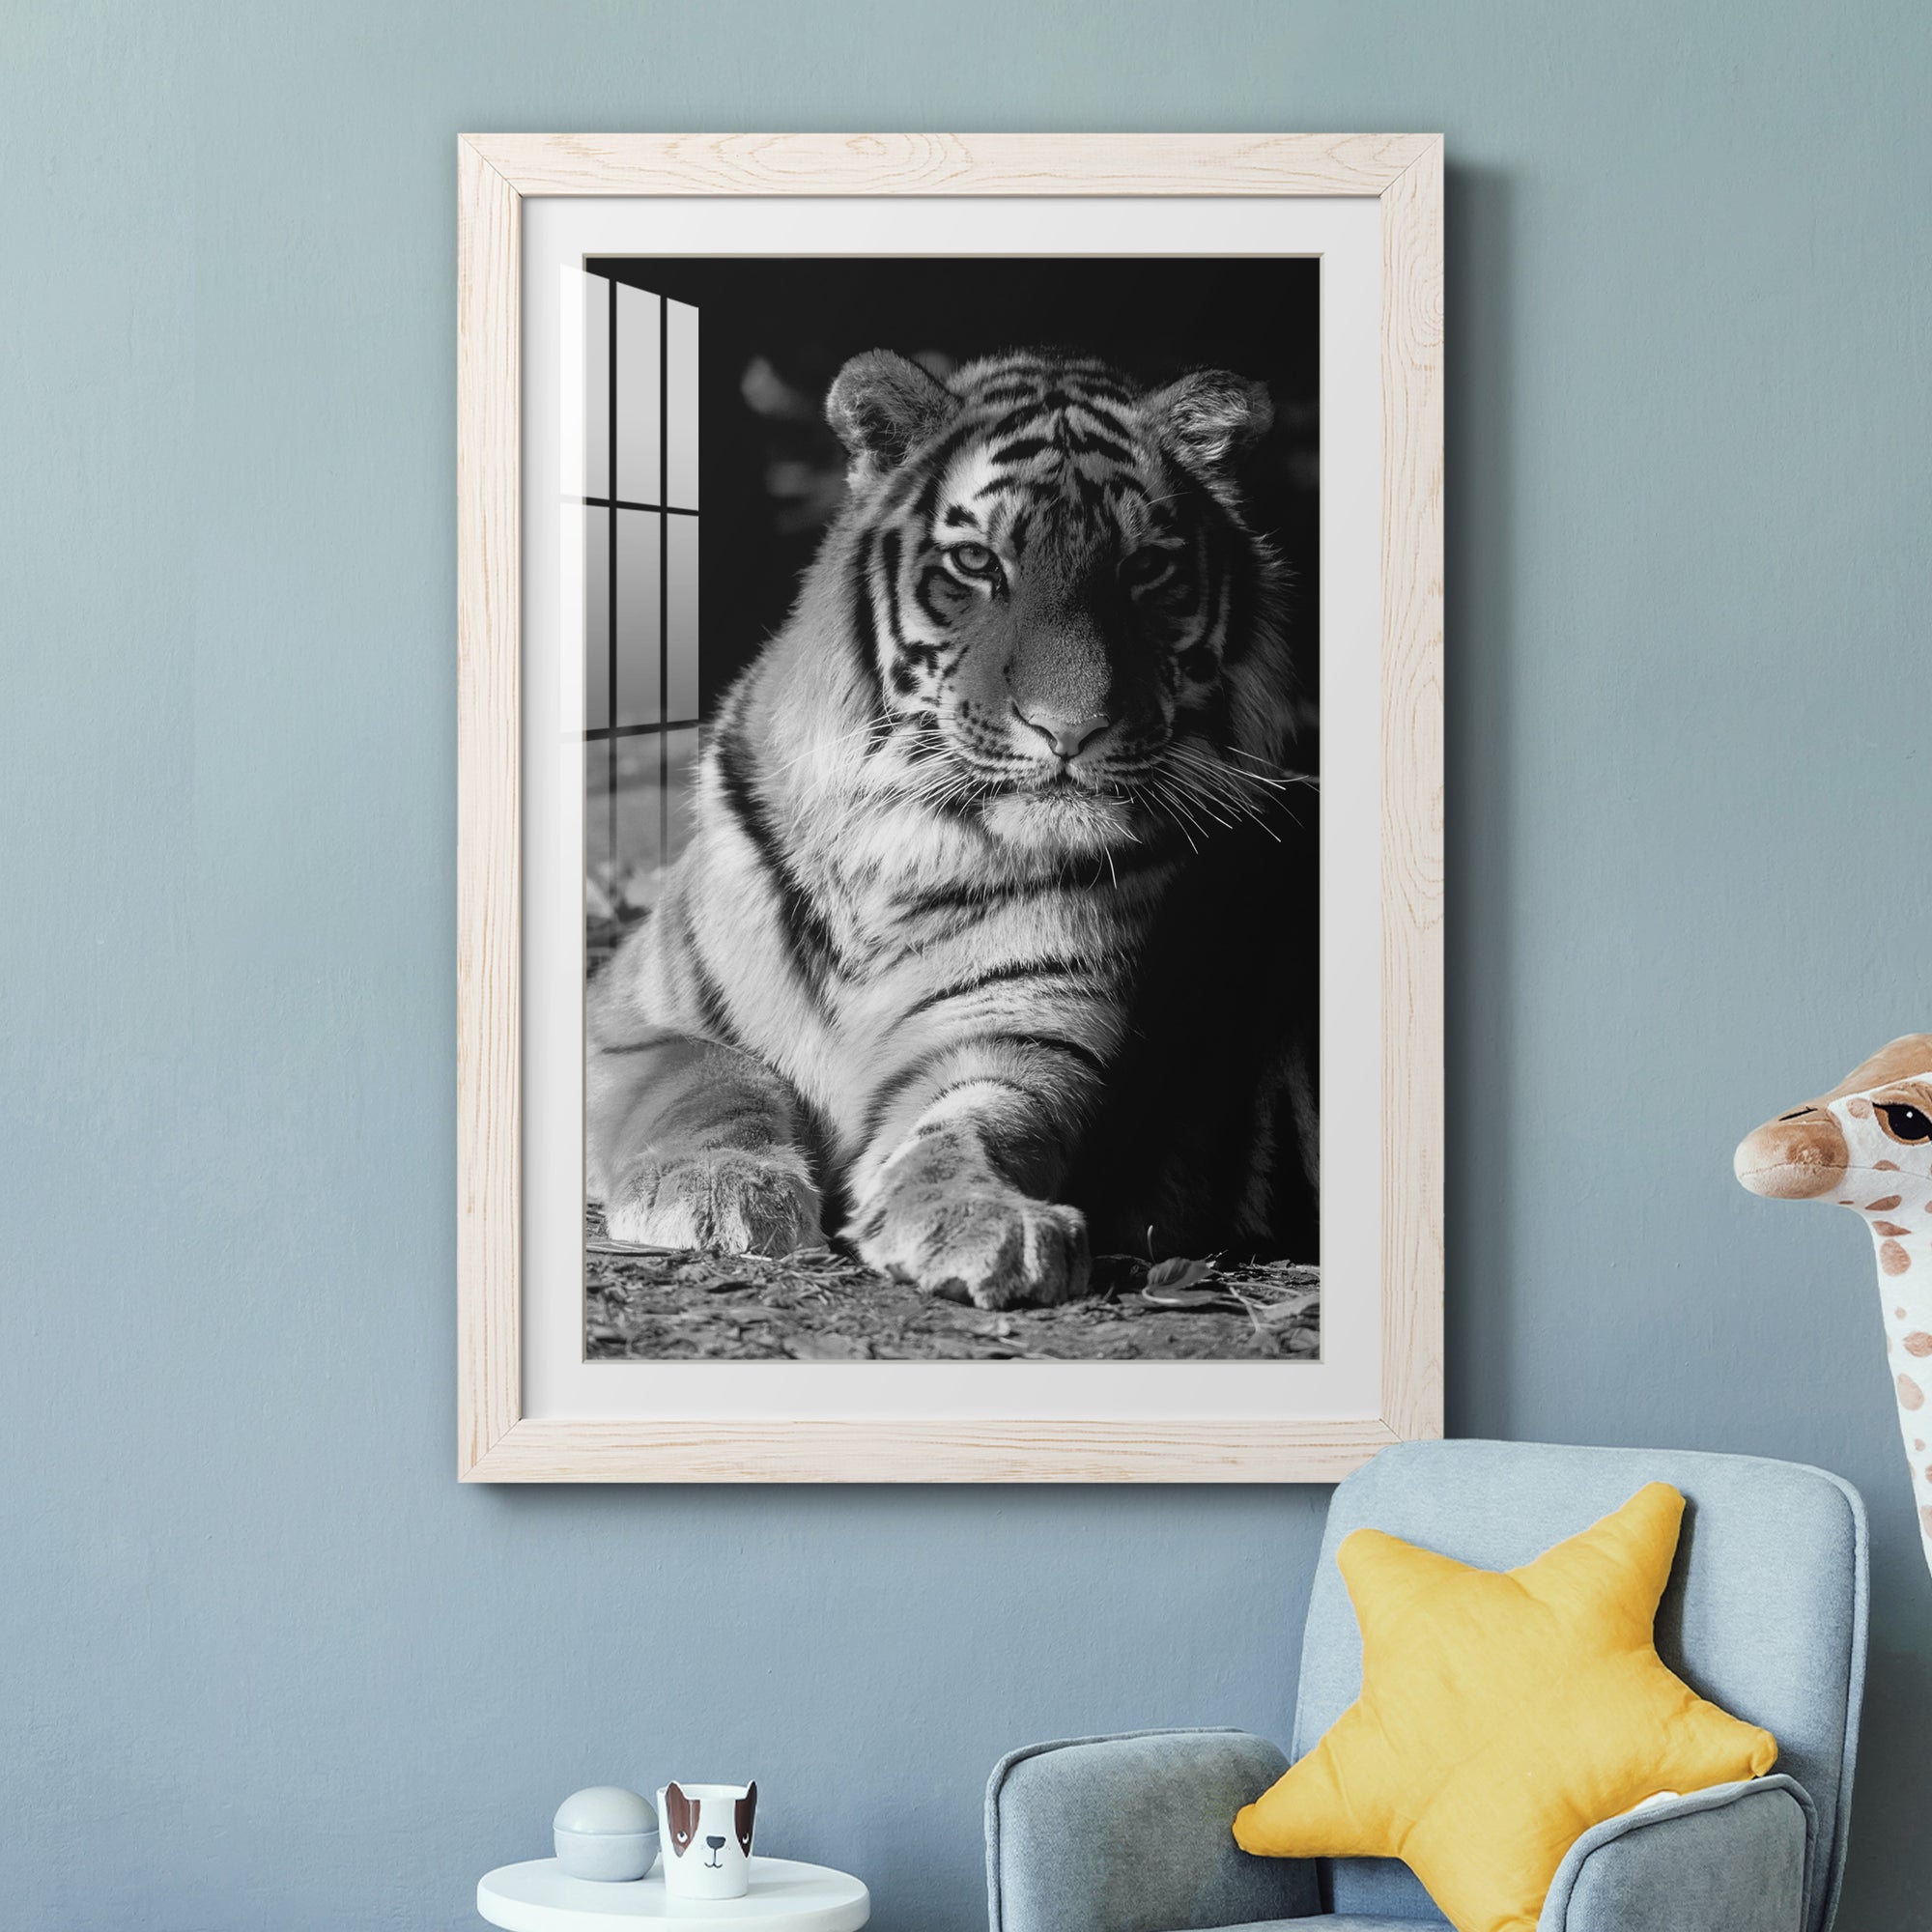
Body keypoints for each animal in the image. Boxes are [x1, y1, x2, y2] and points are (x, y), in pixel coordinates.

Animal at [585, 347, 1318, 1310]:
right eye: (976, 562)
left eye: (1144, 570)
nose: (1070, 730)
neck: (900, 847)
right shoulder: (628, 1014)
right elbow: (713, 1077)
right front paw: (715, 1190)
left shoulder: (1024, 1038)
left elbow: (976, 1125)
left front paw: (982, 1219)